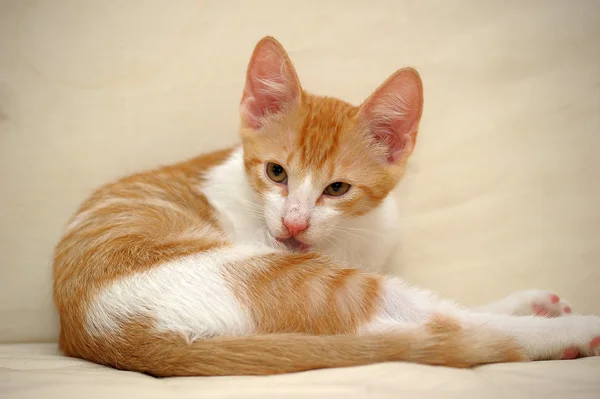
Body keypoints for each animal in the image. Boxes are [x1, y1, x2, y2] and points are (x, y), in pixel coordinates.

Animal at [52, 36, 600, 376]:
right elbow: (437, 314)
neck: (351, 238)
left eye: (336, 189)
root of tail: (109, 335)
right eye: (276, 173)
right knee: (446, 325)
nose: (294, 223)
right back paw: (572, 332)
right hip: (283, 279)